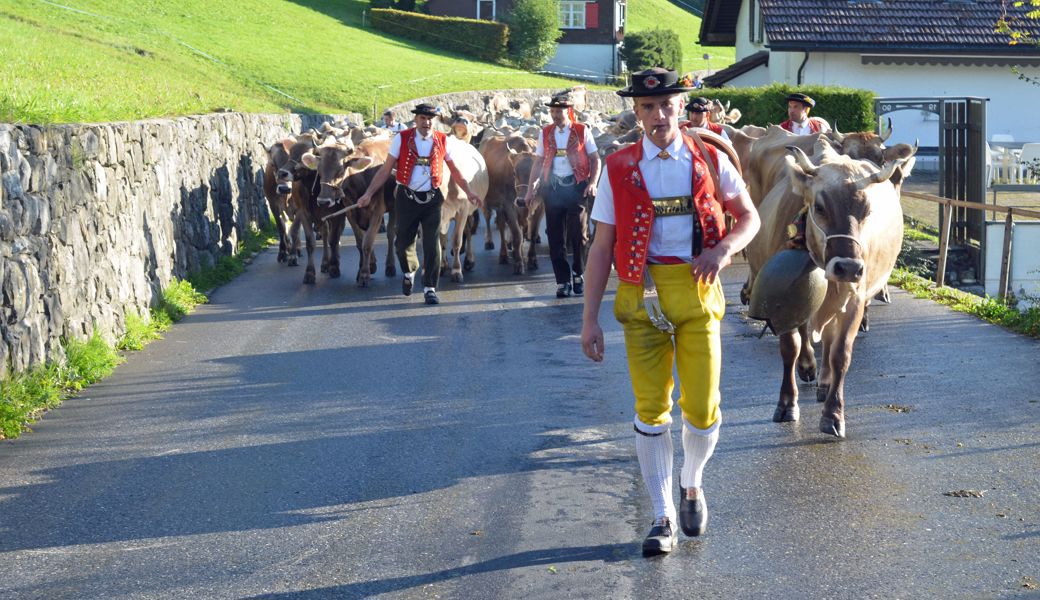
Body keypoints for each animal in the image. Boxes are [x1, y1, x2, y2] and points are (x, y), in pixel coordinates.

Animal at [303, 137, 399, 287]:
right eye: (319, 170)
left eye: (340, 171)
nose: (323, 201)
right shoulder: (351, 214)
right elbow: (360, 243)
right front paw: (362, 270)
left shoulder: (377, 212)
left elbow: (367, 243)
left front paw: (364, 275)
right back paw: (372, 263)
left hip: (393, 207)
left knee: (390, 234)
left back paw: (390, 266)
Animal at [744, 138, 915, 436]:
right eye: (820, 207)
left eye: (867, 210)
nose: (848, 267)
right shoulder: (785, 302)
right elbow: (790, 348)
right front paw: (787, 403)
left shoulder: (854, 300)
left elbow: (839, 354)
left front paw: (834, 414)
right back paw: (808, 367)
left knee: (826, 339)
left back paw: (823, 383)